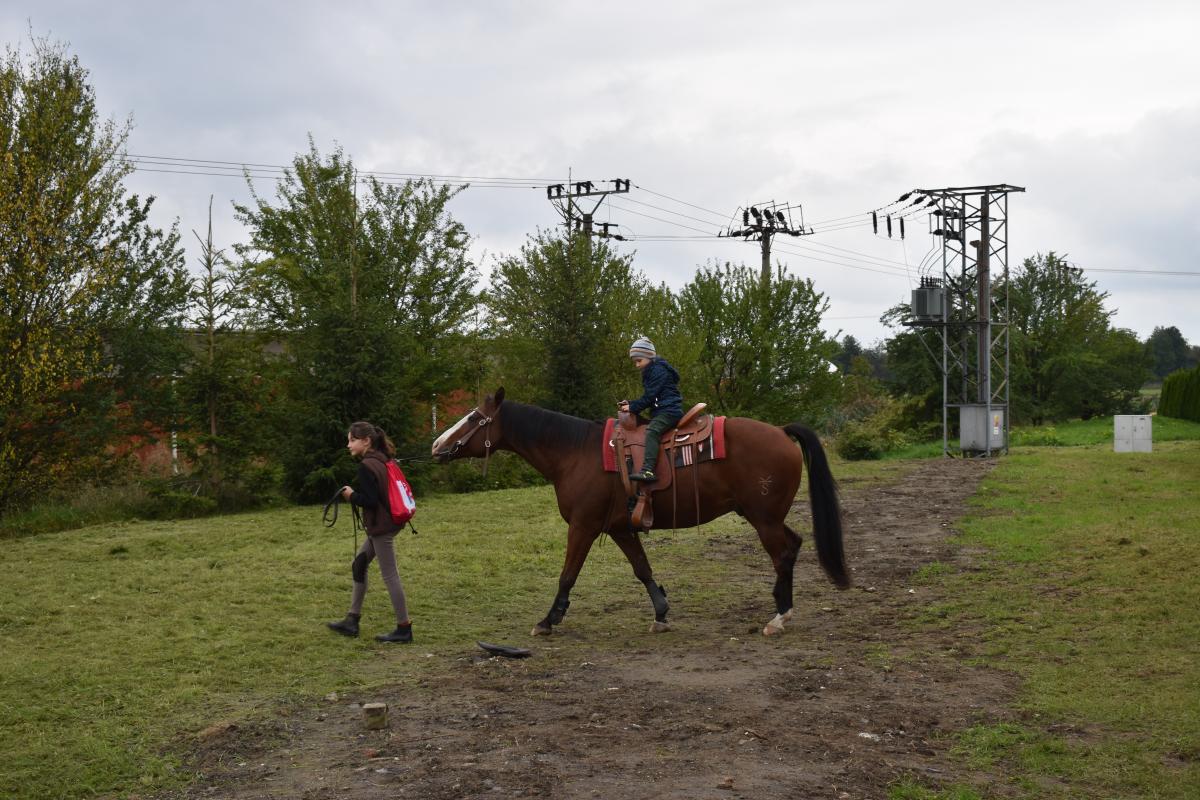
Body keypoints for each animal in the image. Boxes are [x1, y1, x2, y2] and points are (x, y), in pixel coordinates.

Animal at [429, 388, 844, 638]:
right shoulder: (619, 529)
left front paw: (549, 620)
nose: (436, 445)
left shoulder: (583, 526)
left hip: (764, 519)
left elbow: (567, 575)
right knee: (794, 545)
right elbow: (642, 569)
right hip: (766, 517)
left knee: (783, 553)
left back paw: (779, 616)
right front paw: (661, 613)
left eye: (473, 419)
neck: (575, 453)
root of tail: (781, 431)